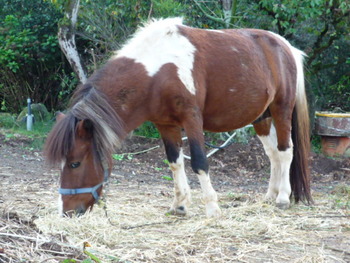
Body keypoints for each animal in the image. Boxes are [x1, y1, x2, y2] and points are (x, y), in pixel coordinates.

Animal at [44, 17, 312, 218]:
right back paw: (270, 195)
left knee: (285, 151)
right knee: (273, 154)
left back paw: (282, 198)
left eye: (75, 163)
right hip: (261, 119)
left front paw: (212, 208)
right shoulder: (165, 125)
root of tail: (286, 47)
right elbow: (175, 162)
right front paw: (180, 205)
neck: (157, 72)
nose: (67, 212)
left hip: (281, 111)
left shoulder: (192, 120)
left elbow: (199, 162)